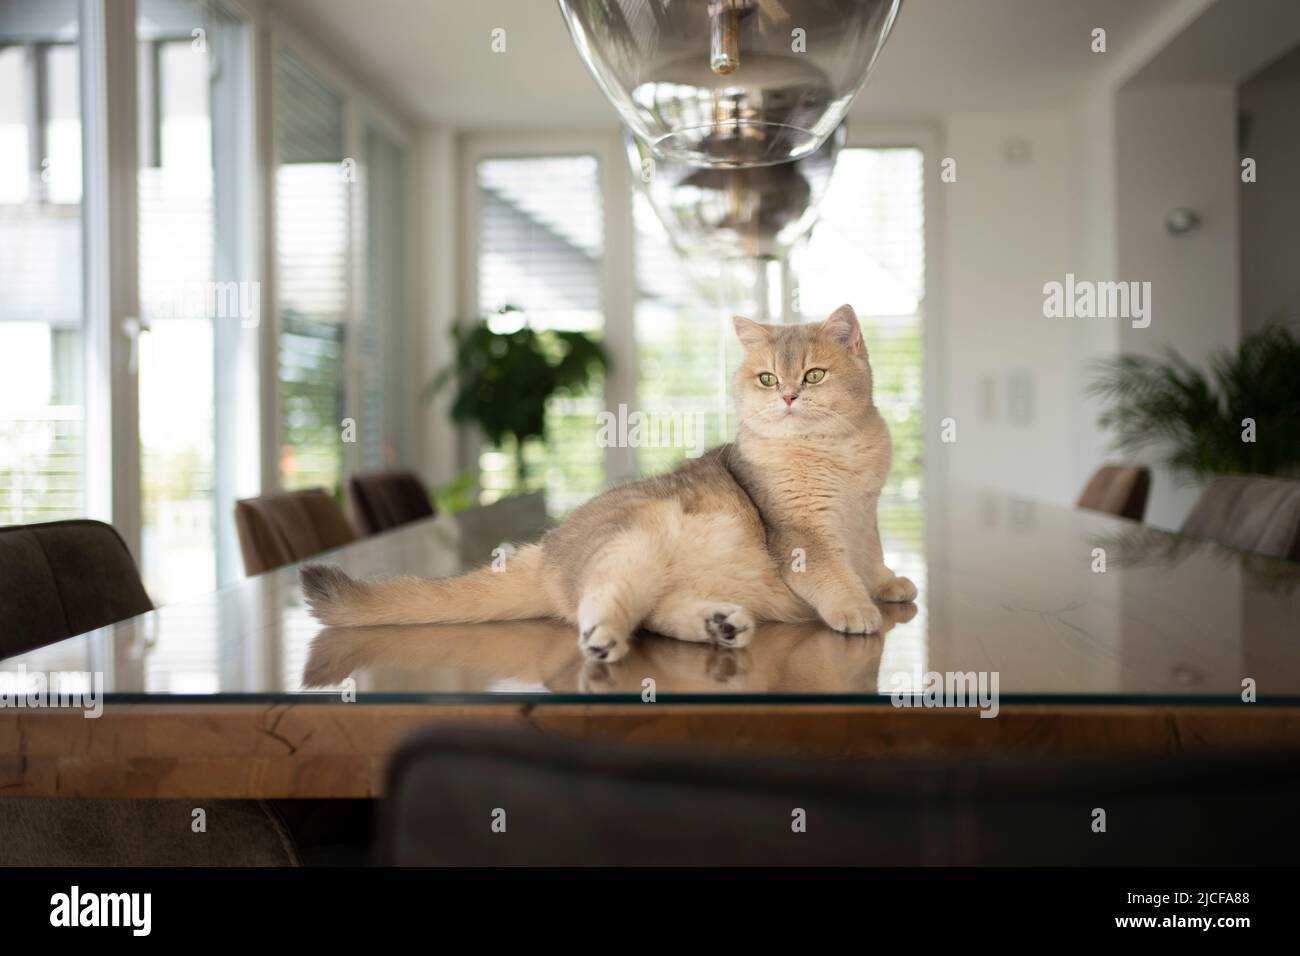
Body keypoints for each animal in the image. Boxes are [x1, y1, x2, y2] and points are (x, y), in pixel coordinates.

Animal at [302, 303, 915, 660]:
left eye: (813, 375)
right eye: (767, 378)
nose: (787, 397)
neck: (831, 449)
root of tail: (548, 548)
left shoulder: (864, 514)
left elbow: (871, 554)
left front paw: (886, 585)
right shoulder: (800, 534)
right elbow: (834, 575)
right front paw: (858, 609)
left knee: (657, 615)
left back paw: (719, 625)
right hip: (633, 544)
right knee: (602, 603)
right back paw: (606, 639)